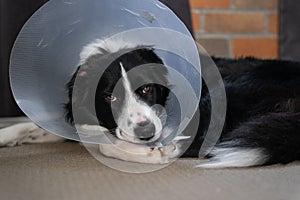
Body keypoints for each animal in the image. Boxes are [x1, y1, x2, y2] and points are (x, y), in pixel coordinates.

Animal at [0, 38, 300, 167]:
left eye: (145, 88)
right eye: (109, 96)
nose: (145, 131)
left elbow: (104, 144)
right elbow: (34, 125)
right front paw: (7, 135)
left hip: (222, 95)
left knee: (195, 145)